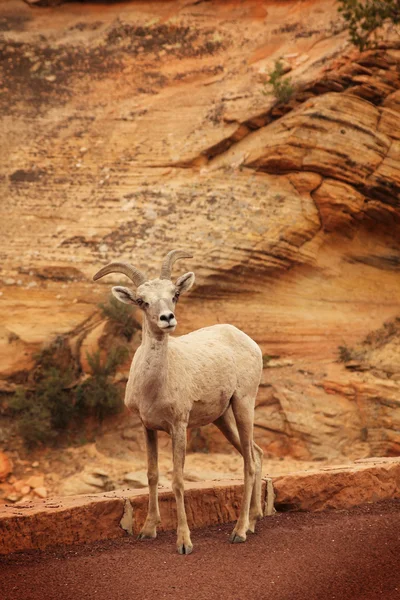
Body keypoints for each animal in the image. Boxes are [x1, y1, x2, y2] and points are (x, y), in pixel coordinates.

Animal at [92, 248, 264, 552]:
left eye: (175, 294)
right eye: (142, 301)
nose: (167, 318)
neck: (154, 387)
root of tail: (246, 339)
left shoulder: (179, 426)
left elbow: (178, 481)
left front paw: (184, 543)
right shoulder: (147, 427)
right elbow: (152, 475)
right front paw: (148, 530)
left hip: (244, 403)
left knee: (250, 463)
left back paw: (240, 531)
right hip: (223, 418)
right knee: (255, 453)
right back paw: (254, 522)